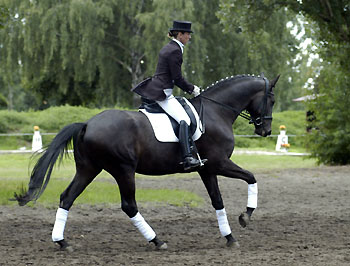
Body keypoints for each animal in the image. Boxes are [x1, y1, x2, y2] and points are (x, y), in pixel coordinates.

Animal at [15, 74, 280, 249]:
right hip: (123, 170)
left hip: (89, 169)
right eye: (272, 100)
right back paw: (157, 240)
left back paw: (62, 242)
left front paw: (230, 237)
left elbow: (218, 201)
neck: (217, 111)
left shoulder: (207, 169)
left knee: (67, 197)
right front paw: (246, 217)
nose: (265, 130)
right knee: (129, 205)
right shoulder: (219, 163)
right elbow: (251, 177)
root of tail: (87, 124)